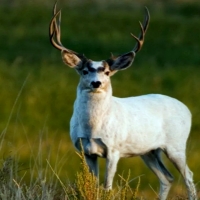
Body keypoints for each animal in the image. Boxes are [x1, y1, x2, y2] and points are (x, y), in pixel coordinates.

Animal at [49, 3, 196, 200]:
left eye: (107, 72)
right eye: (85, 71)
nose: (96, 83)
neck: (92, 128)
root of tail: (186, 108)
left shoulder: (114, 149)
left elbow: (107, 187)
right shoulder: (87, 151)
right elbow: (94, 186)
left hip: (176, 144)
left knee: (188, 176)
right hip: (149, 150)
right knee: (167, 177)